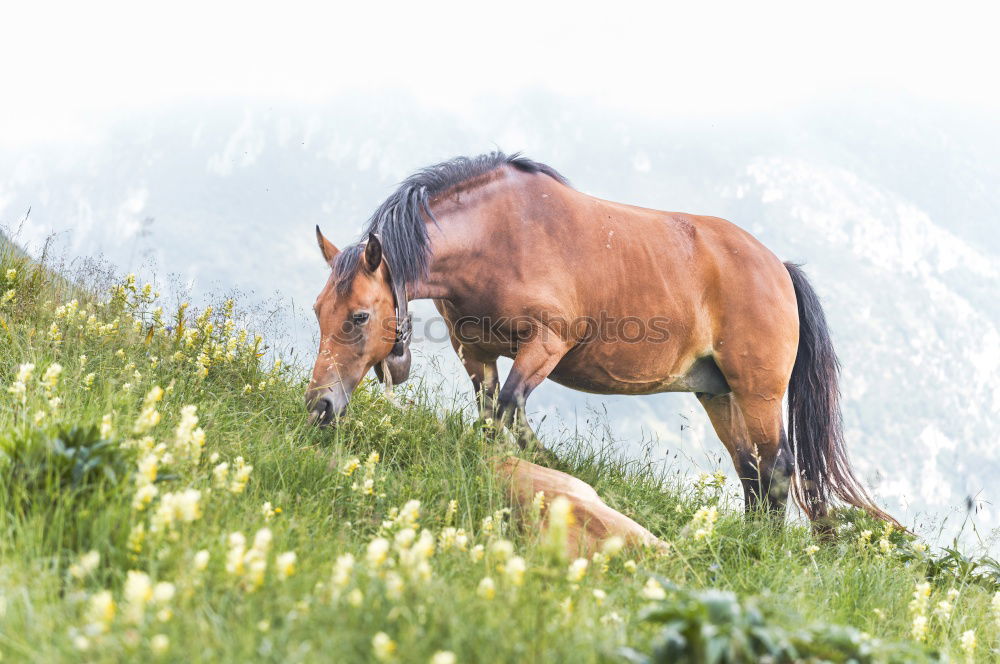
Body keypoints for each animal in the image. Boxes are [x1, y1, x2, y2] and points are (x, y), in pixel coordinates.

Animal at [308, 152, 896, 524]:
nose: (319, 406)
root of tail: (780, 268)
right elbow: (494, 417)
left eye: (359, 316)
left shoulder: (546, 345)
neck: (500, 234)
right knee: (751, 472)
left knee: (775, 472)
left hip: (758, 393)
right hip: (719, 394)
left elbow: (510, 410)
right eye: (318, 310)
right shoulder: (475, 352)